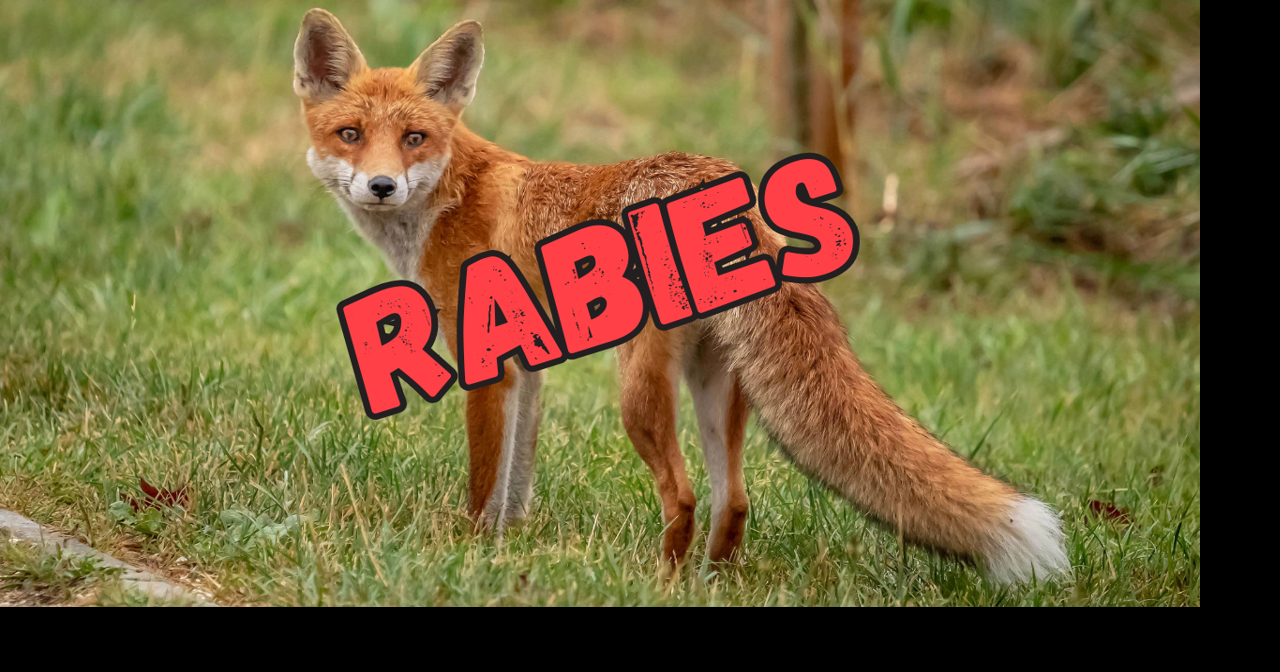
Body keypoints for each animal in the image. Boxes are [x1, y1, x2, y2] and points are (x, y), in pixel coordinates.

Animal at [294, 8, 1070, 583]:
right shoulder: (528, 369)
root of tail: (724, 186)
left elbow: (485, 478)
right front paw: (508, 547)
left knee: (686, 495)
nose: (381, 186)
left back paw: (659, 579)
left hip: (639, 394)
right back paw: (711, 583)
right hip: (715, 385)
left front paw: (468, 551)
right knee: (735, 502)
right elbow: (517, 478)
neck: (450, 199)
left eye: (415, 138)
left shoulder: (486, 360)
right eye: (351, 134)